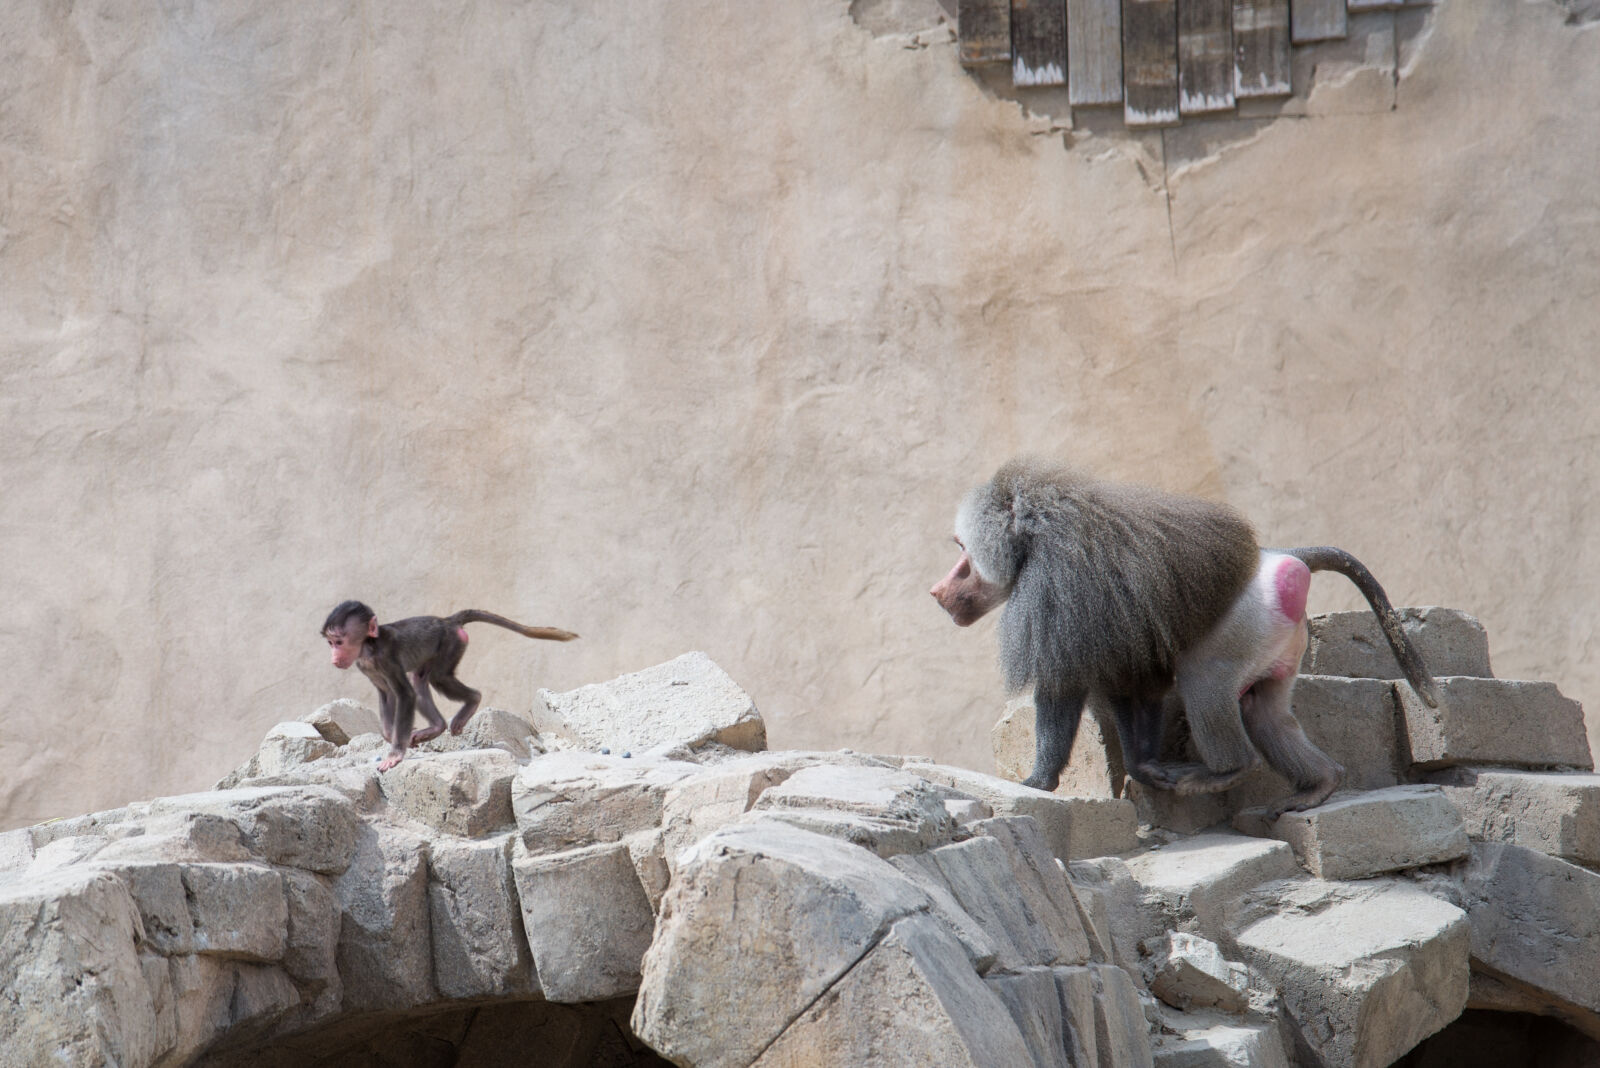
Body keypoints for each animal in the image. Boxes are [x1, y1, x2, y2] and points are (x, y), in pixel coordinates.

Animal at [322, 600, 578, 772]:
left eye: (339, 642)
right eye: (331, 643)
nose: (334, 658)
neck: (368, 646)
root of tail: (448, 621)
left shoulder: (386, 658)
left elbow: (404, 694)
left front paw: (395, 754)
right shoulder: (366, 666)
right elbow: (387, 695)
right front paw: (391, 736)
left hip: (452, 642)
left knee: (438, 679)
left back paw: (472, 701)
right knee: (420, 680)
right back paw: (436, 727)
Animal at [930, 458, 1440, 819]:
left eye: (963, 552)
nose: (938, 590)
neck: (1034, 538)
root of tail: (1277, 556)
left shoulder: (1056, 593)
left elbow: (1063, 688)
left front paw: (1038, 781)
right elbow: (1133, 684)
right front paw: (1144, 767)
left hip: (1243, 626)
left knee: (1204, 683)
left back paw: (1225, 772)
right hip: (1276, 641)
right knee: (1264, 710)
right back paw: (1318, 786)